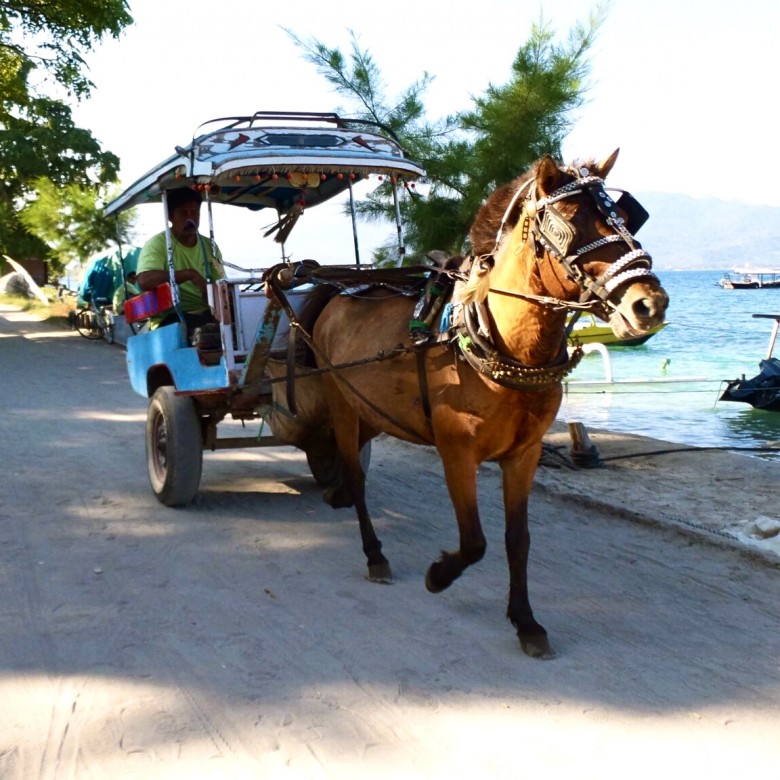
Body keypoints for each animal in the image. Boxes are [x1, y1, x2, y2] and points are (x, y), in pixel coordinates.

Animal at [290, 148, 668, 660]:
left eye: (627, 218)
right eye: (569, 223)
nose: (650, 304)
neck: (499, 342)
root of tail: (339, 290)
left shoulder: (524, 454)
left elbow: (517, 539)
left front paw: (526, 621)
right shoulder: (457, 452)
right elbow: (474, 542)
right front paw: (438, 575)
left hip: (375, 410)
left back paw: (336, 497)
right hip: (344, 407)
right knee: (356, 475)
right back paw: (374, 553)